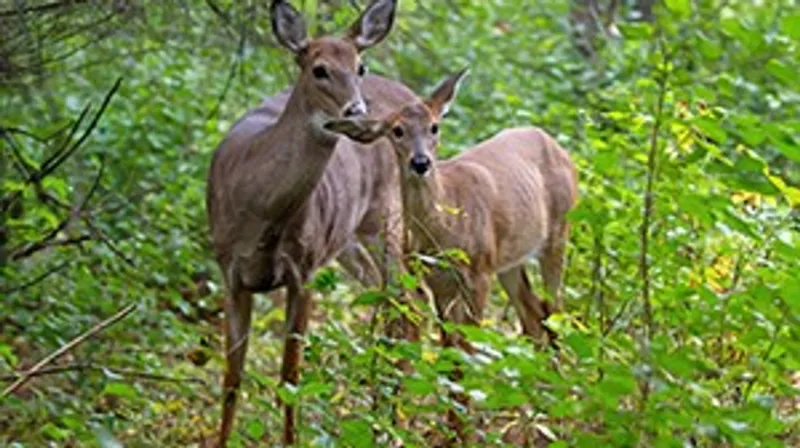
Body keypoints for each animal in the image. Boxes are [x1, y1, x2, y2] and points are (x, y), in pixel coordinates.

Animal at [206, 0, 419, 445]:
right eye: (319, 69)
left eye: (360, 66)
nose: (359, 114)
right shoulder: (230, 271)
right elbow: (232, 377)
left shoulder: (302, 271)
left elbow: (291, 375)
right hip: (350, 243)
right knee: (387, 301)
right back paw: (382, 414)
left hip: (387, 217)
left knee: (405, 305)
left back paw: (395, 423)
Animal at [326, 69, 579, 441]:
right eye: (397, 130)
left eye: (434, 127)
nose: (420, 163)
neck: (445, 226)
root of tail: (556, 144)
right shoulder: (439, 283)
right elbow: (450, 356)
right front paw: (453, 429)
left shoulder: (478, 273)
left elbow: (468, 350)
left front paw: (467, 432)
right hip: (510, 260)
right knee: (534, 319)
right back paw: (531, 419)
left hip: (558, 234)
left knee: (555, 315)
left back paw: (557, 412)